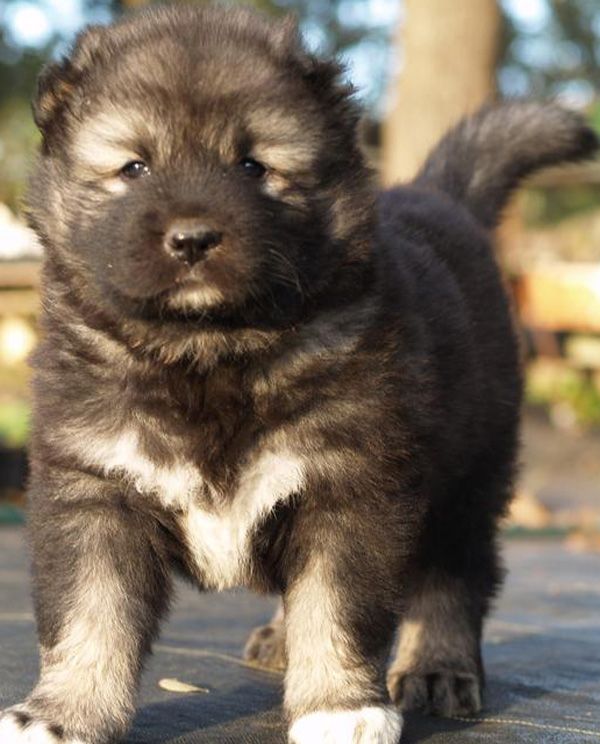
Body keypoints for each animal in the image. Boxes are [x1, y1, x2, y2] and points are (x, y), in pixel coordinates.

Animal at [0, 5, 596, 744]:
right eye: (133, 167)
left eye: (253, 166)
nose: (192, 239)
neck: (210, 350)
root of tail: (440, 198)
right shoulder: (96, 490)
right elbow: (89, 615)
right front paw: (61, 715)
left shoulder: (350, 485)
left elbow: (336, 605)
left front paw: (339, 705)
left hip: (470, 472)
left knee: (452, 576)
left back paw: (438, 666)